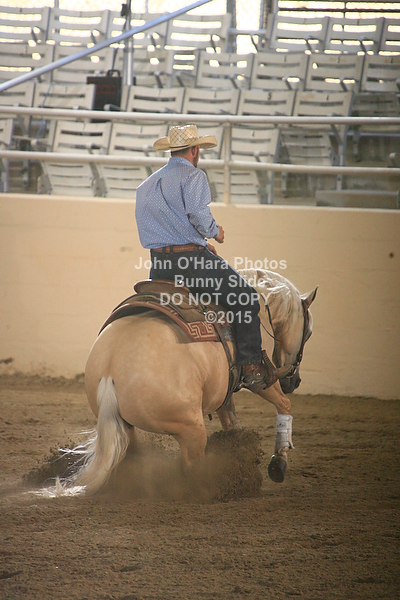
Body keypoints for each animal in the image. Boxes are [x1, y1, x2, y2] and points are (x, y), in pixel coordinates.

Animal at [66, 268, 317, 495]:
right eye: (309, 333)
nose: (294, 382)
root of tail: (110, 369)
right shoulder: (264, 379)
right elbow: (284, 404)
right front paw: (278, 463)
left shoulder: (224, 390)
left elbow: (232, 424)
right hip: (191, 428)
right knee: (191, 468)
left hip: (127, 427)